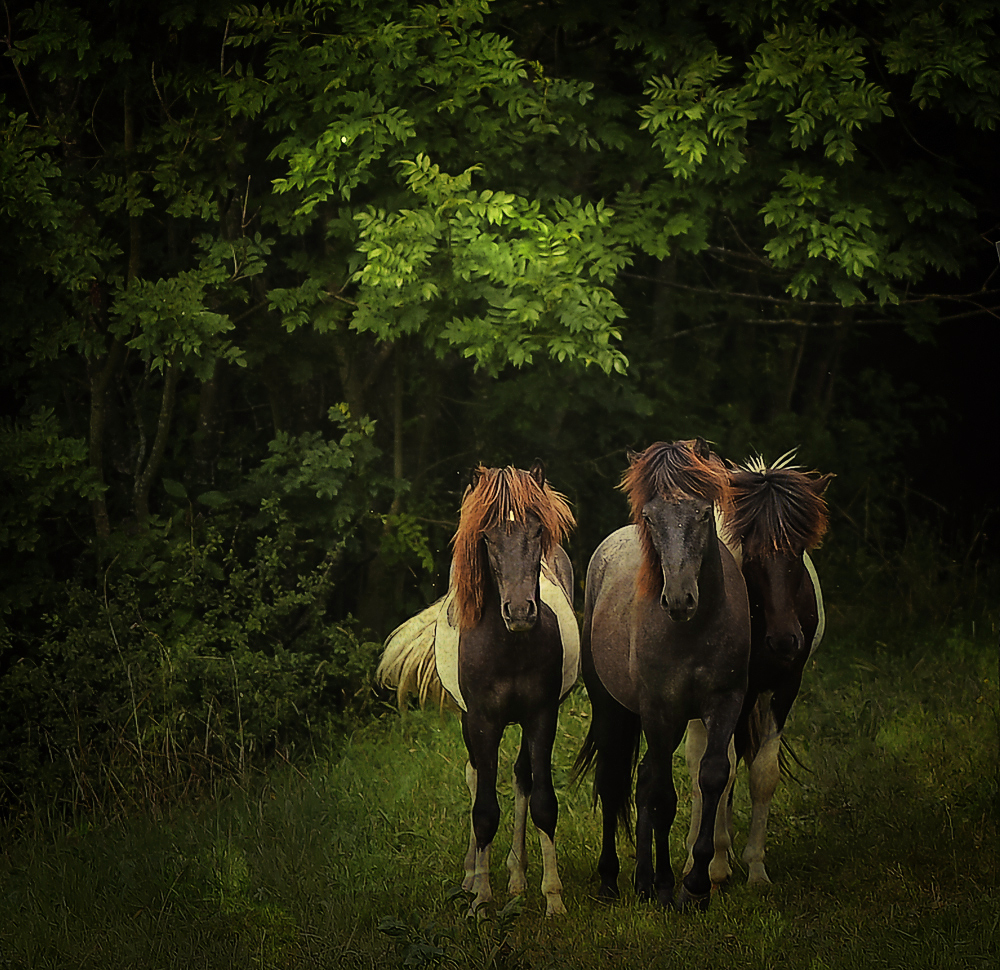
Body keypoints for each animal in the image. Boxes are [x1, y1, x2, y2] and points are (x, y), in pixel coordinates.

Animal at [376, 462, 580, 916]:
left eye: (537, 531)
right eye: (486, 537)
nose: (520, 611)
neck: (510, 647)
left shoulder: (542, 717)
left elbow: (543, 801)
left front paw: (554, 898)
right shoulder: (483, 721)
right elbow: (484, 810)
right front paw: (481, 902)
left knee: (521, 778)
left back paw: (518, 877)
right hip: (470, 723)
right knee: (474, 779)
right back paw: (472, 878)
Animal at [572, 438, 752, 908]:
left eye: (703, 513)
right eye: (650, 517)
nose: (679, 600)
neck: (693, 630)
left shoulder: (724, 702)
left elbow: (712, 777)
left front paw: (697, 883)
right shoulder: (658, 710)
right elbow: (663, 797)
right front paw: (669, 886)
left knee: (643, 779)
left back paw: (643, 879)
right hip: (613, 709)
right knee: (617, 782)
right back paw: (614, 880)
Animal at [684, 450, 832, 880]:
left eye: (799, 549)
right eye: (750, 551)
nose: (784, 640)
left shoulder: (785, 685)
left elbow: (762, 772)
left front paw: (755, 868)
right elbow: (721, 769)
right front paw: (714, 865)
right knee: (699, 765)